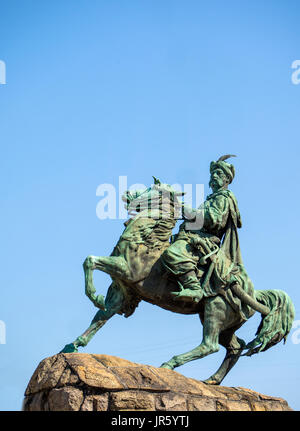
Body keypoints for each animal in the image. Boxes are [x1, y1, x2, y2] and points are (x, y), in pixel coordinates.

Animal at [61, 179, 296, 384]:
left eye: (154, 189)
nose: (127, 194)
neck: (145, 240)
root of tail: (252, 293)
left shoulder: (124, 269)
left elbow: (90, 261)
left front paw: (95, 296)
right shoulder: (122, 290)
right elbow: (101, 317)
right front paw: (74, 345)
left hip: (215, 311)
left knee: (210, 345)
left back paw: (170, 364)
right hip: (221, 323)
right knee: (235, 346)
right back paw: (212, 380)